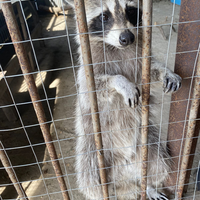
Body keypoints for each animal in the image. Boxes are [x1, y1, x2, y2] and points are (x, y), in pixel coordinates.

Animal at [65, 0, 181, 199]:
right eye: (104, 16)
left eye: (131, 11)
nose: (127, 38)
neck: (116, 47)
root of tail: (125, 175)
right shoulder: (87, 72)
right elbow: (96, 86)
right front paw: (121, 82)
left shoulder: (140, 60)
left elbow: (151, 71)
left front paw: (166, 72)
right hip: (93, 150)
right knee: (90, 179)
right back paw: (102, 192)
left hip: (148, 143)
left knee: (159, 165)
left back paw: (149, 185)